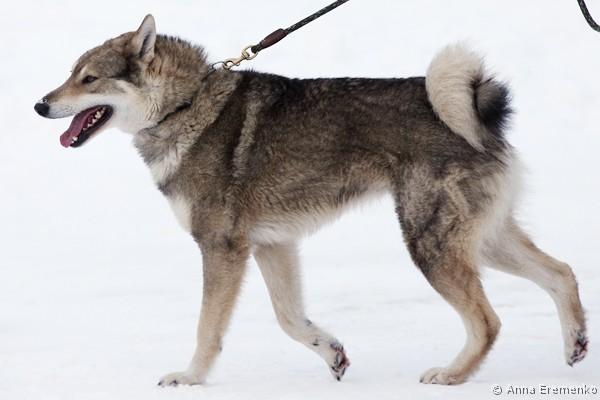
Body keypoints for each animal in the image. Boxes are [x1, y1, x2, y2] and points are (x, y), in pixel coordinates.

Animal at [34, 14, 588, 386]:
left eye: (89, 79)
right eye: (70, 73)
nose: (40, 104)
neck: (183, 106)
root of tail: (478, 106)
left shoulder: (222, 248)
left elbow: (207, 327)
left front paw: (191, 378)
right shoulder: (272, 245)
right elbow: (289, 319)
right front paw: (332, 353)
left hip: (430, 243)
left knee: (489, 321)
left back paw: (453, 374)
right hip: (481, 240)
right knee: (561, 272)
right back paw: (576, 343)